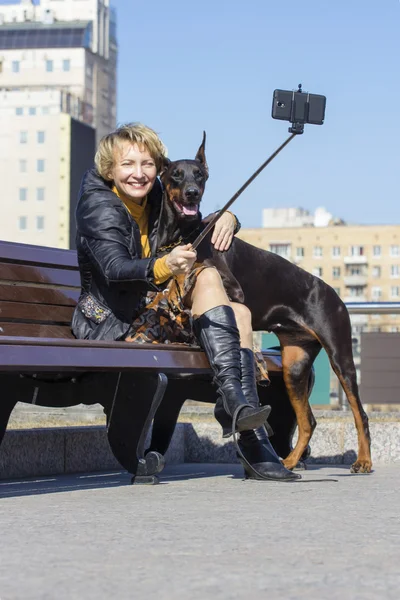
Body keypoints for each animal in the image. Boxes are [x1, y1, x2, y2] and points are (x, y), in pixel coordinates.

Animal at [155, 134, 372, 476]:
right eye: (176, 174)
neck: (183, 233)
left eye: (200, 175)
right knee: (307, 421)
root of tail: (334, 293)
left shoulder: (232, 288)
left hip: (341, 356)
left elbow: (197, 273)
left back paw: (363, 461)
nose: (192, 192)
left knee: (359, 412)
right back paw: (290, 461)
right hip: (294, 367)